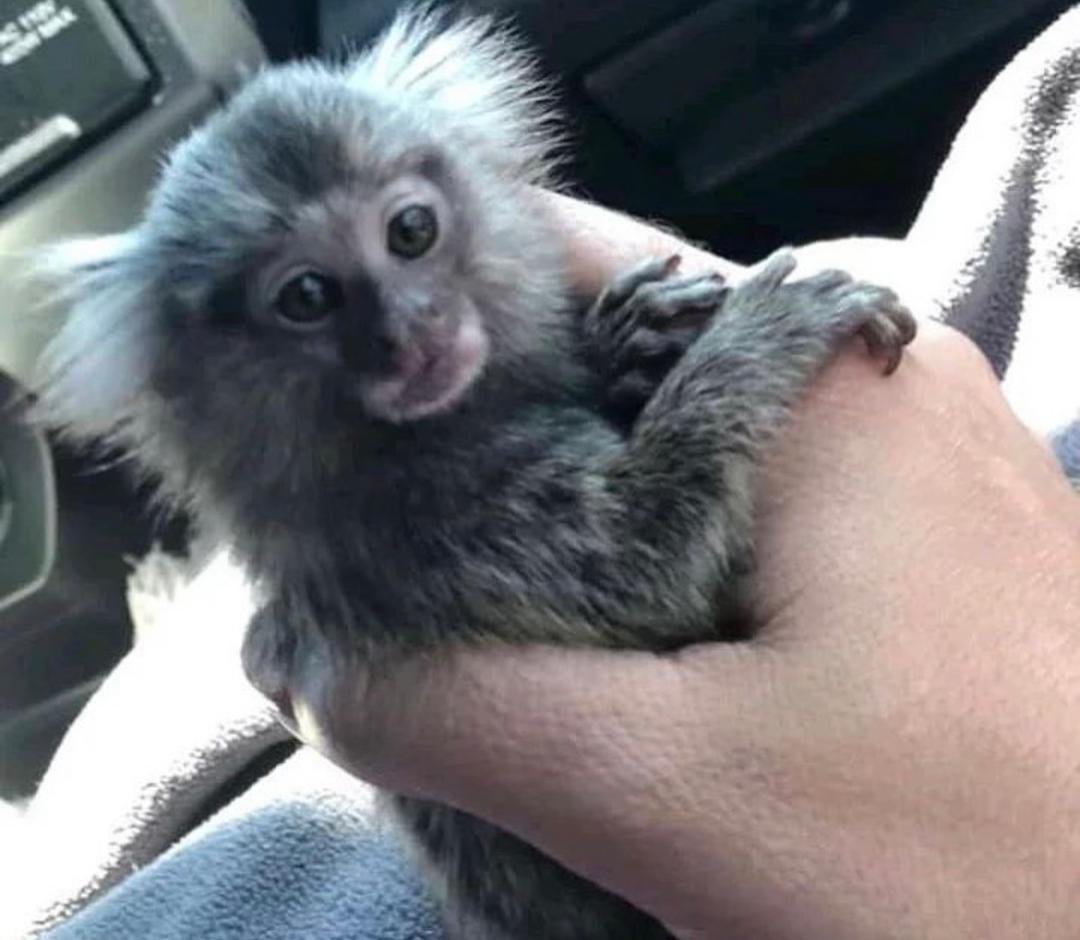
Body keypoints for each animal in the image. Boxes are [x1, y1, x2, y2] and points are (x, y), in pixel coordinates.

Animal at [31, 9, 915, 940]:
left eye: (411, 233)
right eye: (306, 296)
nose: (410, 332)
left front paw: (629, 337)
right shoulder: (426, 528)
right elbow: (645, 564)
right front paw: (765, 331)